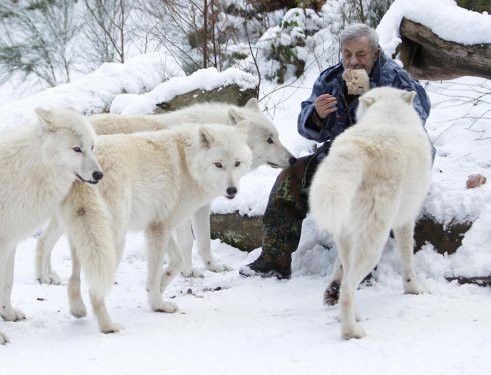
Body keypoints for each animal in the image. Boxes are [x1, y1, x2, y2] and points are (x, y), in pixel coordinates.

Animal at [0, 107, 101, 346]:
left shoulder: (10, 241)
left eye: (92, 146)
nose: (99, 175)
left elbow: (7, 282)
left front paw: (8, 313)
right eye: (76, 149)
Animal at [35, 98, 296, 284]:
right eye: (269, 140)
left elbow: (204, 241)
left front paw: (212, 267)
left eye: (277, 136)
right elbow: (187, 242)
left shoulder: (201, 206)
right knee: (43, 241)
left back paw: (48, 275)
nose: (293, 159)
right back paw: (44, 277)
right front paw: (189, 272)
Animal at [58, 125, 254, 334]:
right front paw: (158, 304)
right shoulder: (158, 229)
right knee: (95, 290)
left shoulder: (159, 225)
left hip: (83, 237)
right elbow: (155, 273)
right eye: (218, 165)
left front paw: (159, 288)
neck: (188, 163)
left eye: (237, 163)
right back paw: (108, 326)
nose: (232, 190)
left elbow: (177, 262)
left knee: (74, 278)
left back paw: (77, 309)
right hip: (113, 242)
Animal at [310, 87, 432, 340]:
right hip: (374, 242)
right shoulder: (405, 221)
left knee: (346, 277)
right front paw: (413, 289)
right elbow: (408, 259)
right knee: (349, 287)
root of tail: (358, 148)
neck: (389, 114)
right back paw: (351, 331)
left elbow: (338, 265)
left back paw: (352, 315)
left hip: (348, 235)